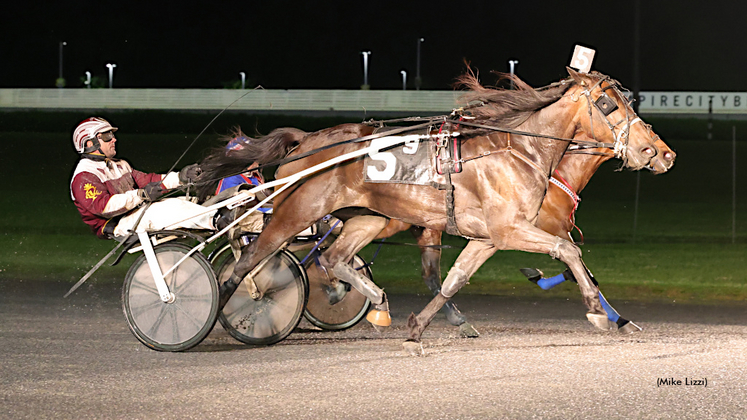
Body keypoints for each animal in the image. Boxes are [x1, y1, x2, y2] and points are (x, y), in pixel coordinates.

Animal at [202, 68, 676, 354]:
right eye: (610, 104)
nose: (661, 153)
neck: (521, 151)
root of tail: (306, 140)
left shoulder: (487, 238)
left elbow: (453, 279)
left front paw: (416, 330)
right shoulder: (513, 229)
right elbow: (570, 253)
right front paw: (599, 312)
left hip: (368, 217)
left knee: (333, 257)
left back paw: (373, 300)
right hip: (296, 210)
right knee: (248, 259)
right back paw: (215, 311)